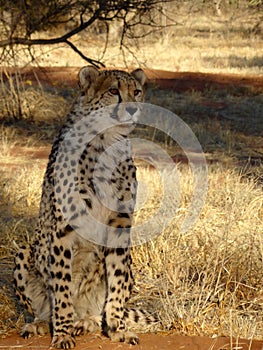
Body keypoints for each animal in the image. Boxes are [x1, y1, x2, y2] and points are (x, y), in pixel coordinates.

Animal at [13, 67, 157, 348]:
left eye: (136, 91)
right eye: (113, 90)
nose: (133, 108)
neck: (106, 142)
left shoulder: (120, 222)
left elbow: (117, 281)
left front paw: (118, 328)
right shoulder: (63, 229)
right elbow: (62, 286)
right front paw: (62, 334)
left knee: (97, 307)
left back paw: (86, 321)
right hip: (25, 253)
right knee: (44, 307)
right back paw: (42, 323)